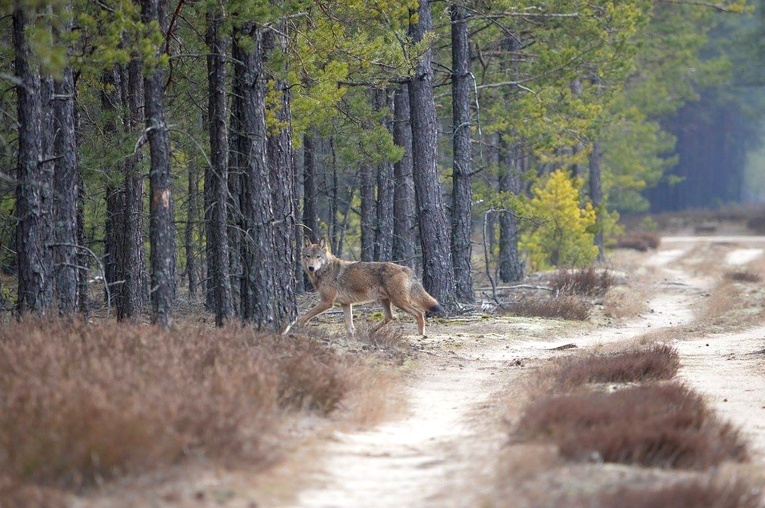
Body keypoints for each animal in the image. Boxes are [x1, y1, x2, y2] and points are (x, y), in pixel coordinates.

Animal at [296, 238, 444, 338]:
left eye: (318, 257)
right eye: (308, 256)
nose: (311, 267)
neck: (326, 271)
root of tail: (406, 268)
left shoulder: (327, 302)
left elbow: (304, 316)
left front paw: (296, 326)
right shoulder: (346, 304)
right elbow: (349, 325)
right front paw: (352, 337)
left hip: (399, 302)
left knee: (419, 313)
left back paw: (421, 334)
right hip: (386, 300)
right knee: (390, 317)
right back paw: (371, 331)